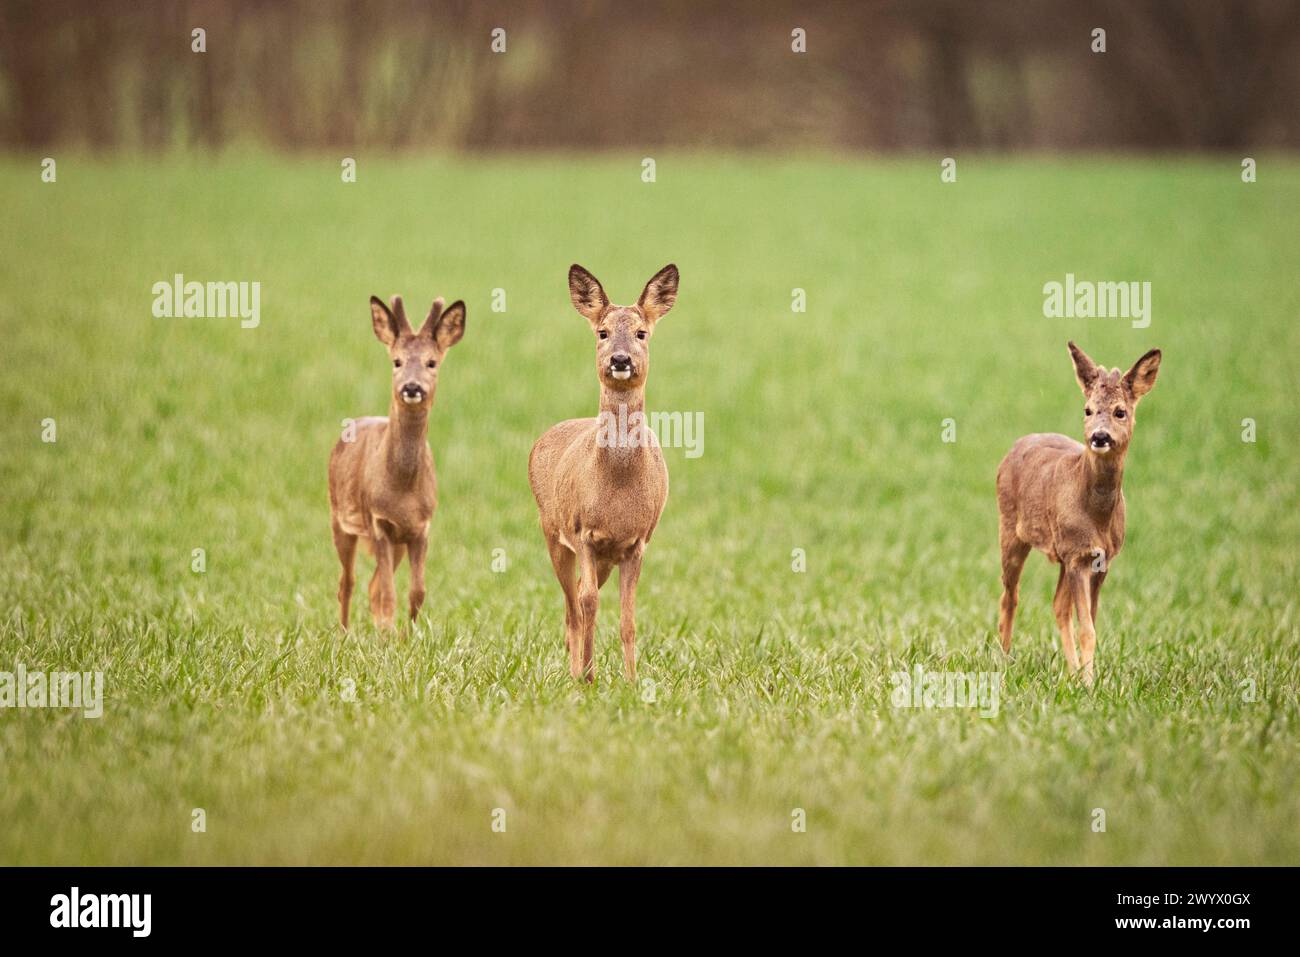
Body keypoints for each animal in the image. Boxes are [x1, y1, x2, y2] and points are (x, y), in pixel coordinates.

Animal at [328, 293, 466, 629]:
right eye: (397, 361)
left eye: (431, 362)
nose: (412, 387)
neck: (402, 488)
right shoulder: (379, 523)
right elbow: (389, 594)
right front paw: (391, 635)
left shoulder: (420, 527)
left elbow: (416, 592)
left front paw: (409, 635)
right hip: (339, 519)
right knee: (347, 582)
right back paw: (344, 632)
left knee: (372, 584)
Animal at [528, 264, 679, 683]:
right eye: (602, 332)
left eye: (642, 332)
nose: (620, 359)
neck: (617, 485)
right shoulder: (582, 533)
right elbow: (588, 603)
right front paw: (588, 677)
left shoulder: (636, 542)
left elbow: (628, 617)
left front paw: (630, 680)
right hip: (552, 531)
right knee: (571, 604)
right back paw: (574, 669)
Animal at [996, 341, 1161, 686]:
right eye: (1087, 410)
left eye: (1120, 411)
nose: (1099, 436)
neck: (1096, 515)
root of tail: (1013, 448)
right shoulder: (1076, 555)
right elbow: (1087, 628)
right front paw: (1088, 684)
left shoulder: (1100, 558)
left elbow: (1090, 623)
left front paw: (1087, 678)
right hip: (1010, 530)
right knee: (1010, 595)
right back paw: (1003, 661)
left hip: (1060, 554)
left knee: (1057, 606)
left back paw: (1069, 672)